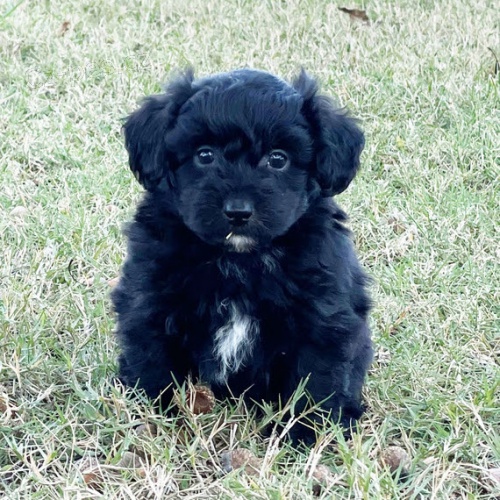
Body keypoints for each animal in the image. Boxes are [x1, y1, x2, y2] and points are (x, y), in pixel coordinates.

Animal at [113, 68, 372, 444]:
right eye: (205, 155)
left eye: (278, 159)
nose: (238, 212)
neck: (238, 261)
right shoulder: (148, 302)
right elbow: (151, 362)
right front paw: (151, 416)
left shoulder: (322, 319)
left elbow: (317, 381)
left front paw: (306, 436)